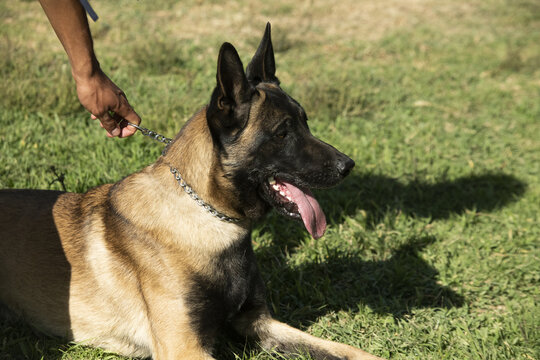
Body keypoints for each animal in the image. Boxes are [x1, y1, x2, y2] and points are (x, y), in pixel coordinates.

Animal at [0, 23, 382, 358]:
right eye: (282, 133)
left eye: (306, 122)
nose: (348, 165)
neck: (209, 216)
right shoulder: (184, 347)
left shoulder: (259, 323)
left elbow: (348, 351)